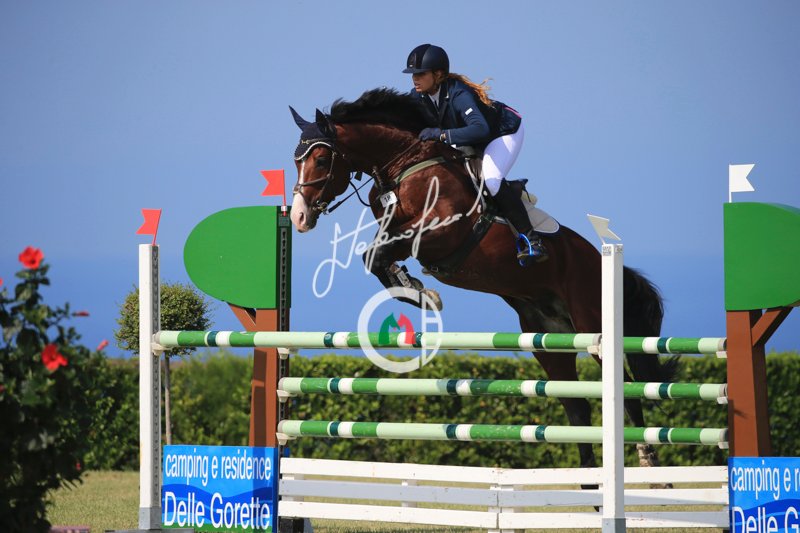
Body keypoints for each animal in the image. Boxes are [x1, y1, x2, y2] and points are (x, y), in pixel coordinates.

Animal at [288, 88, 678, 472]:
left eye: (320, 160)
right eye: (296, 161)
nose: (299, 217)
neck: (405, 165)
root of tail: (597, 256)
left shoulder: (442, 232)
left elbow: (379, 253)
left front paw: (421, 292)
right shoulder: (397, 229)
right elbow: (376, 255)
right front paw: (416, 291)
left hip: (589, 321)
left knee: (626, 389)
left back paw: (647, 459)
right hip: (546, 338)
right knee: (576, 406)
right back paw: (588, 480)